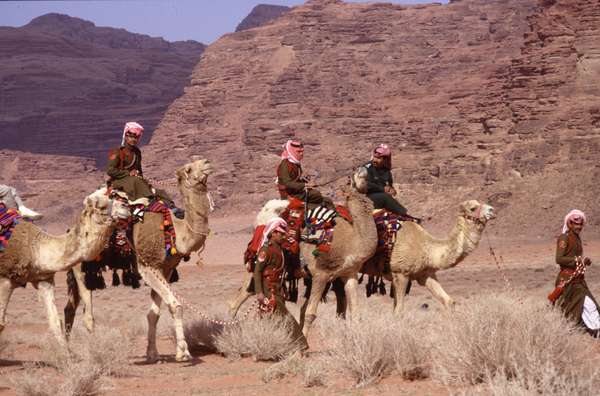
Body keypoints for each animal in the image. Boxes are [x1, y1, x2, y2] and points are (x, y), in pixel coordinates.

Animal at [0, 190, 124, 342]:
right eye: (102, 206)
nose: (126, 207)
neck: (34, 248)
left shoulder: (43, 280)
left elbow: (55, 323)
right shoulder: (5, 279)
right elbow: (1, 324)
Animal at [63, 159, 212, 364]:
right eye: (189, 168)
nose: (207, 162)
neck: (177, 231)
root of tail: (71, 229)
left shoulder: (165, 268)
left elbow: (153, 314)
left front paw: (153, 354)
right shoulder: (147, 266)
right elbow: (175, 305)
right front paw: (183, 352)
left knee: (69, 309)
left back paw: (67, 353)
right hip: (82, 268)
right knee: (88, 316)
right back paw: (95, 353)